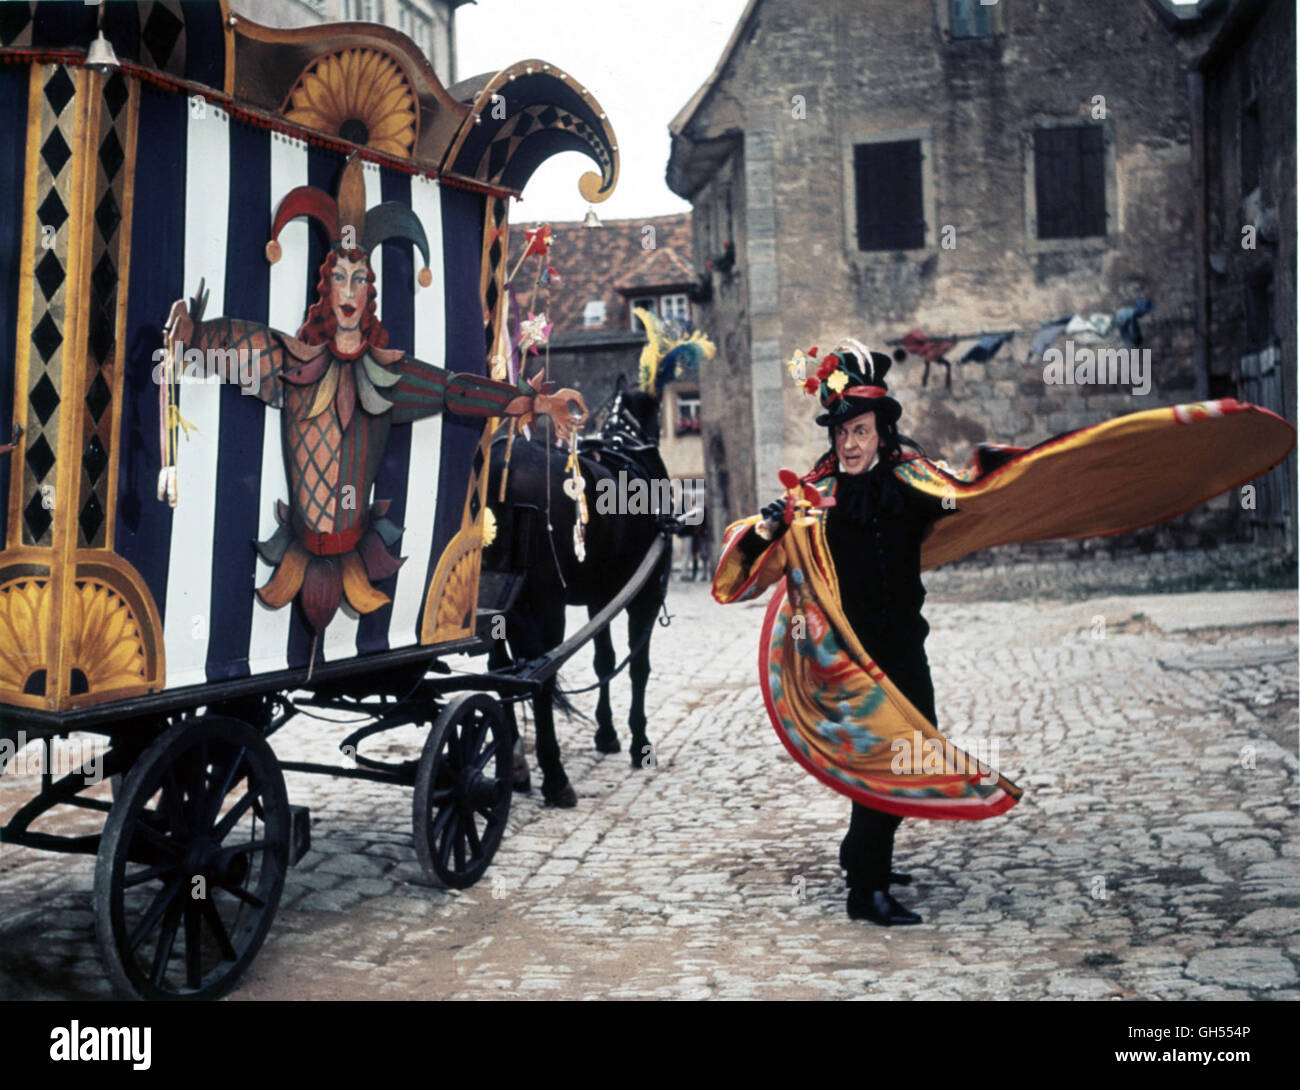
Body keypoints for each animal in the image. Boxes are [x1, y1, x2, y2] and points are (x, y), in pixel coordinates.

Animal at [483, 387, 676, 806]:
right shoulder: (644, 597)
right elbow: (638, 668)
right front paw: (639, 741)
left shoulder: (598, 599)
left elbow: (604, 661)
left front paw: (606, 734)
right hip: (545, 606)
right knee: (538, 677)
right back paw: (555, 777)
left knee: (499, 671)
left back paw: (516, 763)